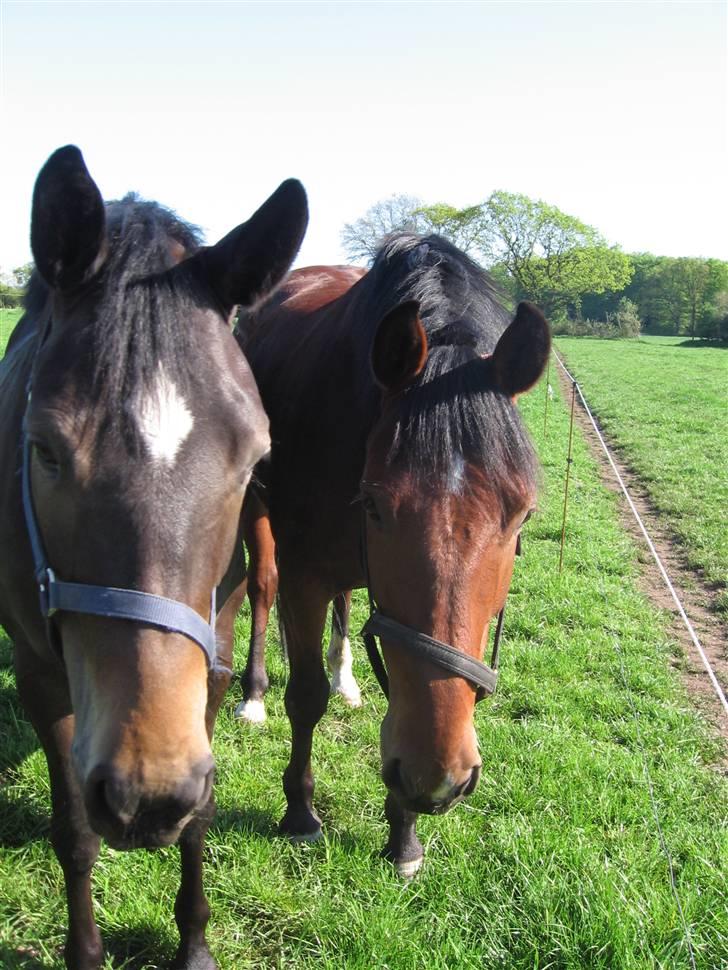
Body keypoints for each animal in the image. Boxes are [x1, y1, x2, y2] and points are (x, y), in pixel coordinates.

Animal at [0, 146, 308, 968]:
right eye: (44, 449)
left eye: (254, 456)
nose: (147, 792)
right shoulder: (39, 668)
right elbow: (75, 832)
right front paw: (85, 951)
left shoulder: (208, 654)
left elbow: (200, 816)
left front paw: (194, 944)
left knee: (267, 585)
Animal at [236, 238, 548, 872]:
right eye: (376, 505)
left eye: (522, 515)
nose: (437, 779)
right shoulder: (304, 576)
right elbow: (305, 696)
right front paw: (300, 813)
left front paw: (403, 834)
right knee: (261, 589)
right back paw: (253, 694)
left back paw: (346, 677)